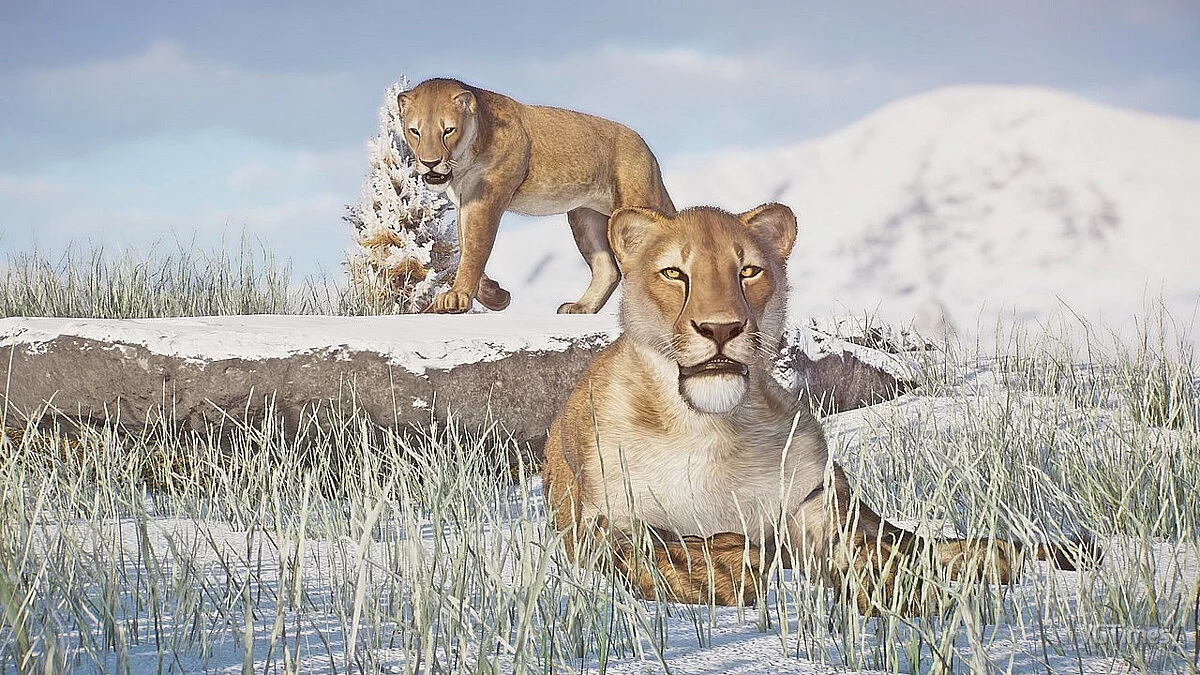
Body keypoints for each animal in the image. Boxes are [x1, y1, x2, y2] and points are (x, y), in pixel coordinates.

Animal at [397, 78, 675, 314]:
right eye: (415, 131)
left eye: (448, 130)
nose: (430, 163)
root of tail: (645, 147)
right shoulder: (465, 202)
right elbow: (466, 246)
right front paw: (496, 296)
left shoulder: (486, 198)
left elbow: (475, 250)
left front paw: (457, 297)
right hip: (584, 218)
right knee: (608, 270)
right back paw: (581, 307)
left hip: (638, 200)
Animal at [542, 203, 1096, 612]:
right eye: (674, 273)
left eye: (748, 270)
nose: (720, 328)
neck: (711, 428)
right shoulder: (594, 523)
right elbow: (647, 546)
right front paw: (729, 563)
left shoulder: (815, 503)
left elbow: (873, 552)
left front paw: (907, 589)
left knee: (917, 539)